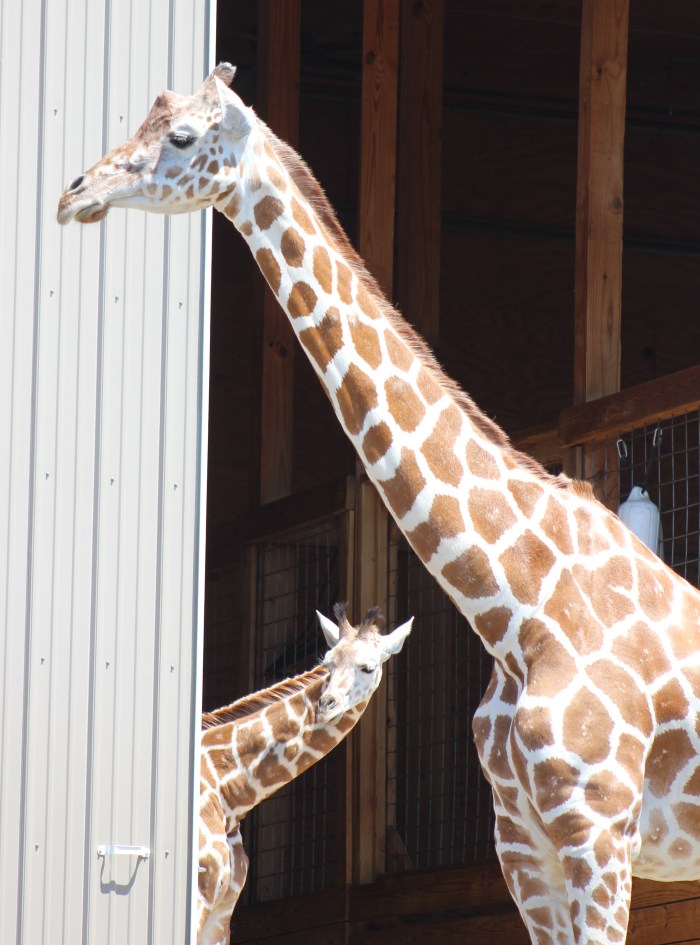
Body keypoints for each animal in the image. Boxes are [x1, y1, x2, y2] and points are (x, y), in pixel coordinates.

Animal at [197, 604, 412, 945]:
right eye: (327, 663)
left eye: (368, 667)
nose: (326, 705)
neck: (229, 794)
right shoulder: (197, 891)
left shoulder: (220, 913)